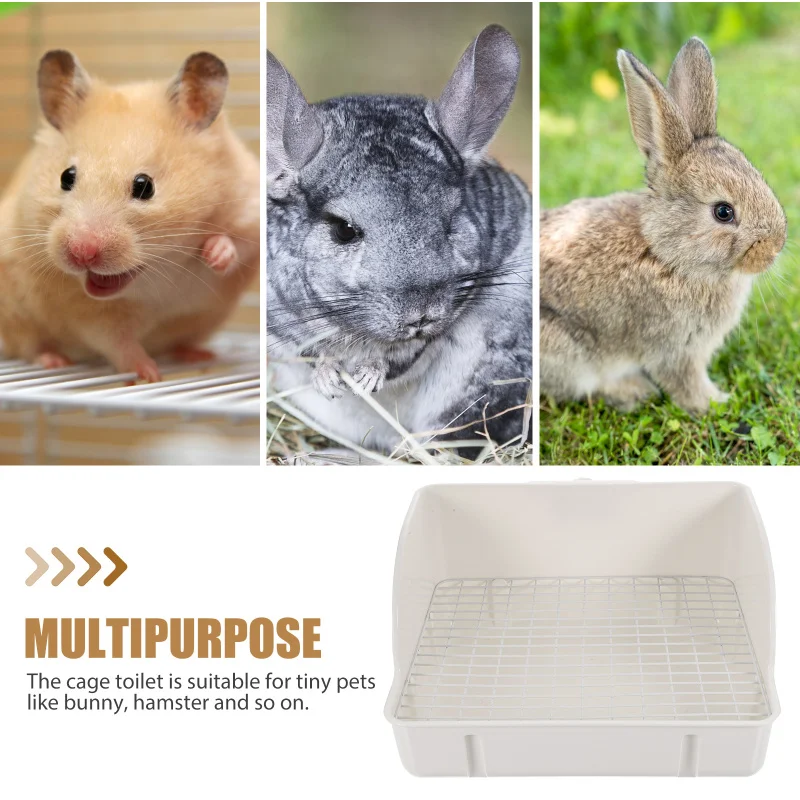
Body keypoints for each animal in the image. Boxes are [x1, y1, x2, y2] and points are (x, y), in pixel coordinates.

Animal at [267, 25, 532, 456]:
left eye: (450, 221)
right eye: (344, 229)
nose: (421, 315)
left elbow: (397, 357)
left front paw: (366, 377)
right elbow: (310, 352)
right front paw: (330, 377)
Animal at [540, 38, 786, 414]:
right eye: (723, 212)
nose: (775, 247)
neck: (665, 254)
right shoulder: (676, 349)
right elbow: (686, 384)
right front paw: (717, 403)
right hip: (564, 350)